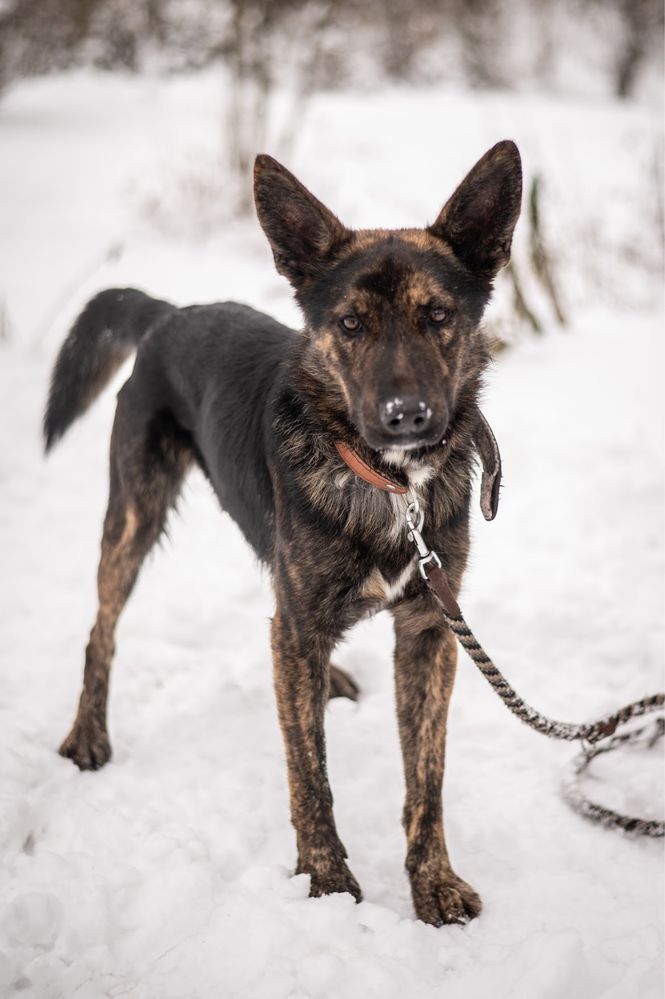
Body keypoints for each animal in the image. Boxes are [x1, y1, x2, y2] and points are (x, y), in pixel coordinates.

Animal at [44, 137, 520, 924]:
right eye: (352, 324)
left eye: (438, 315)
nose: (407, 416)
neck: (388, 485)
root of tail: (168, 313)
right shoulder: (313, 630)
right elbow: (310, 771)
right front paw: (326, 882)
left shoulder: (428, 629)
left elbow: (426, 775)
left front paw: (433, 881)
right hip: (135, 518)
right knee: (101, 628)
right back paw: (88, 734)